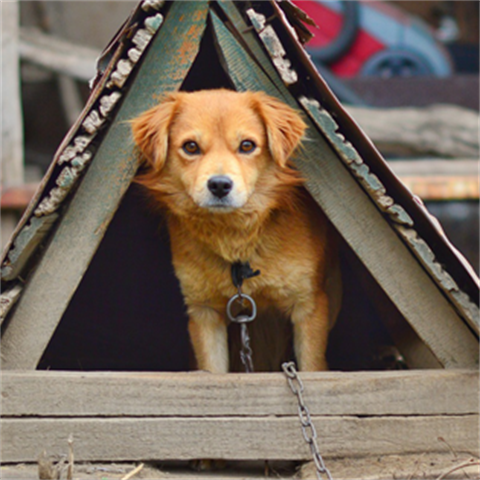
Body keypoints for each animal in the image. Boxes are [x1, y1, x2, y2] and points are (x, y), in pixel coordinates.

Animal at [131, 91, 342, 376]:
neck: (235, 236)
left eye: (247, 145)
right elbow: (214, 372)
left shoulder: (308, 306)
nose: (220, 185)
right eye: (191, 147)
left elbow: (311, 369)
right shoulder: (204, 312)